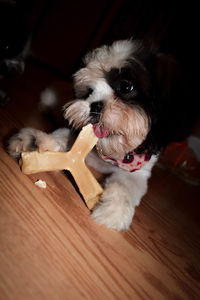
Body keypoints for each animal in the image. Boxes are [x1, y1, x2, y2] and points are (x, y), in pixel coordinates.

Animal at [7, 39, 195, 231]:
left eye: (126, 86)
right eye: (89, 92)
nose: (95, 105)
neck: (109, 154)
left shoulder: (139, 174)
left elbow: (124, 187)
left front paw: (113, 210)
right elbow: (62, 135)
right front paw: (35, 142)